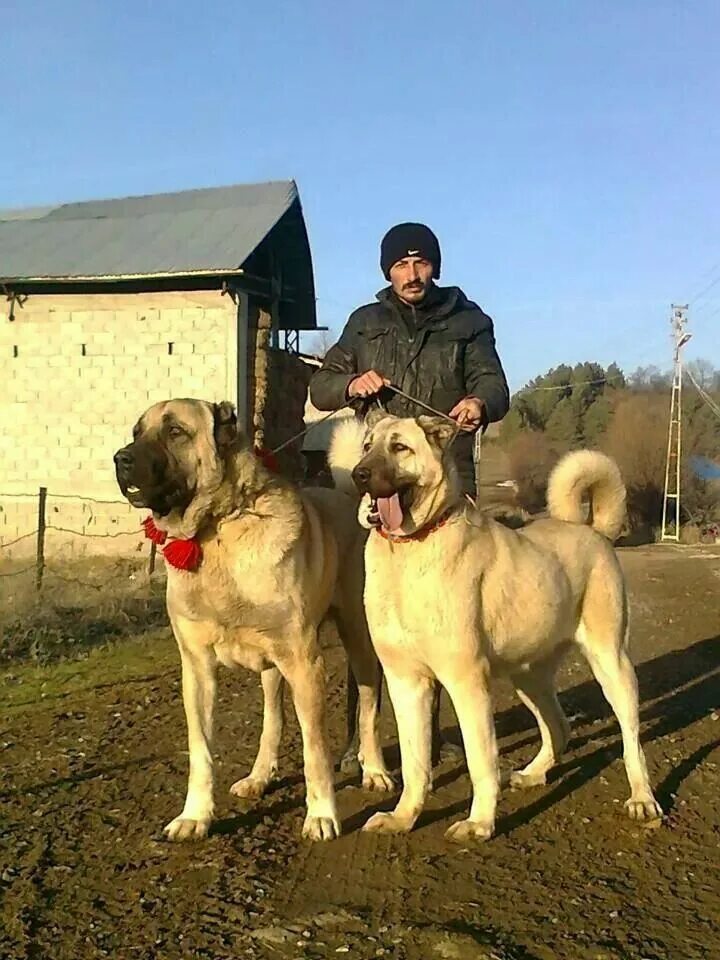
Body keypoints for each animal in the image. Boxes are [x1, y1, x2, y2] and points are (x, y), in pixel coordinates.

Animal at [114, 398, 390, 840]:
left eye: (175, 432)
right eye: (137, 432)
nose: (120, 459)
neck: (218, 527)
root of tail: (347, 499)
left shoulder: (305, 664)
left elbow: (315, 750)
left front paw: (321, 815)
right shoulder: (197, 669)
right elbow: (201, 751)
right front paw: (195, 816)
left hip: (358, 645)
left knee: (368, 708)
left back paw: (375, 770)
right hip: (272, 667)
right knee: (272, 720)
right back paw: (260, 776)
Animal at [330, 410, 660, 840]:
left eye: (400, 447)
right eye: (367, 446)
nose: (359, 474)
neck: (411, 549)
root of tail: (592, 530)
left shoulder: (466, 683)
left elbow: (480, 762)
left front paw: (479, 824)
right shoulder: (406, 683)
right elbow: (415, 763)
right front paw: (403, 818)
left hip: (611, 664)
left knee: (631, 740)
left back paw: (642, 798)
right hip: (528, 676)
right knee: (558, 726)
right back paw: (534, 774)